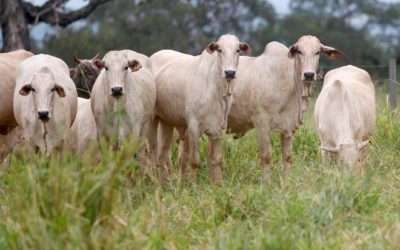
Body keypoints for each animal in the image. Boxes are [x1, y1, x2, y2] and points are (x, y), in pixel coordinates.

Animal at [150, 34, 250, 183]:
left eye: (238, 50)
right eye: (219, 50)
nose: (230, 72)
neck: (216, 90)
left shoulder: (219, 129)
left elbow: (216, 160)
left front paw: (217, 184)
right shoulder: (193, 127)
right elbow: (194, 161)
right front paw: (192, 184)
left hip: (166, 122)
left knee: (163, 154)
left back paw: (166, 183)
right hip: (152, 121)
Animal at [227, 36, 346, 179]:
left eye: (317, 52)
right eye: (299, 51)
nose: (309, 74)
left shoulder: (288, 128)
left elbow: (287, 157)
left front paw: (287, 179)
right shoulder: (261, 124)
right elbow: (266, 156)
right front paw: (266, 181)